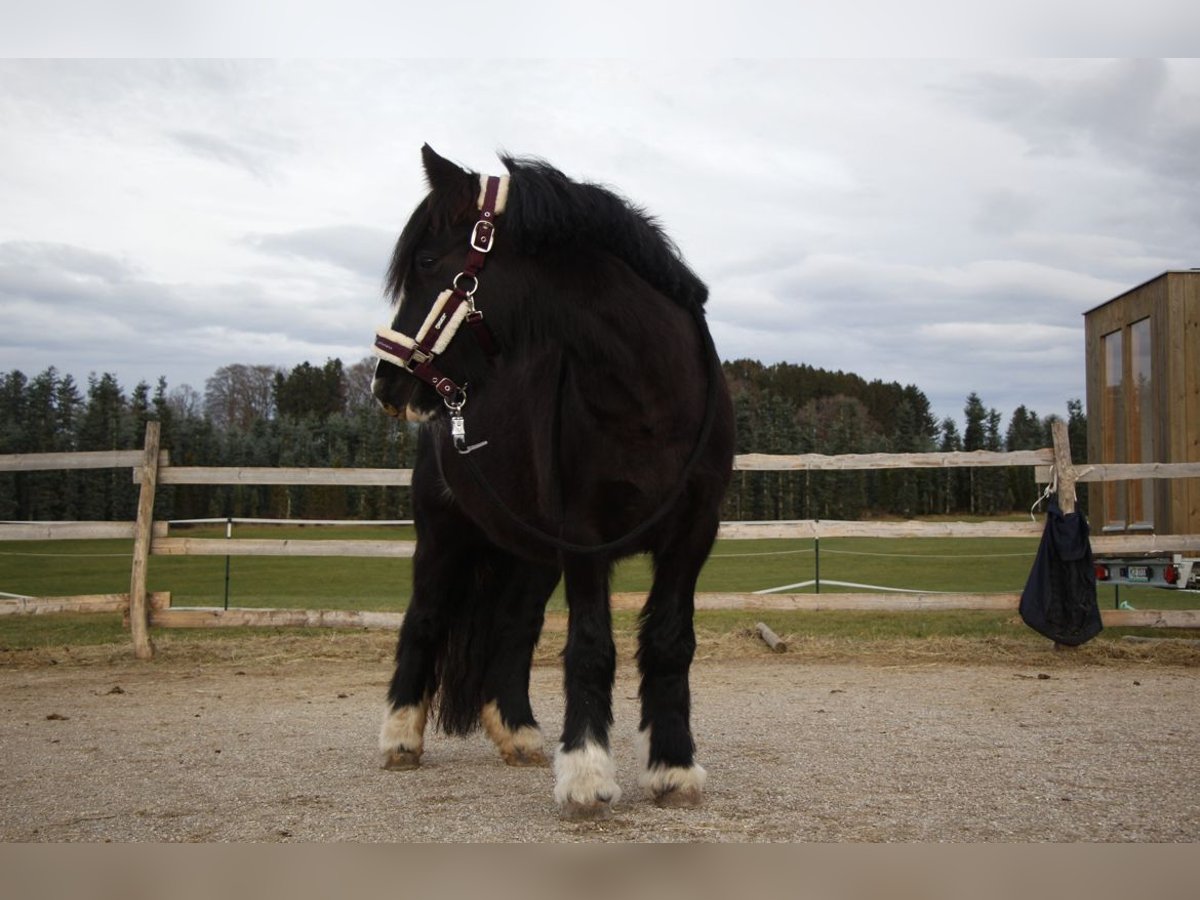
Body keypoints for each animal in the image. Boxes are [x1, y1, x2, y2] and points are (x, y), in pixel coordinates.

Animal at [369, 146, 734, 816]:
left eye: (428, 262)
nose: (387, 383)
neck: (650, 397)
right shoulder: (585, 535)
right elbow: (590, 645)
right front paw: (587, 774)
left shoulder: (693, 534)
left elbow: (670, 642)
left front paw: (673, 767)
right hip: (442, 539)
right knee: (424, 619)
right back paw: (401, 738)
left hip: (530, 556)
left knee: (514, 629)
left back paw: (519, 734)